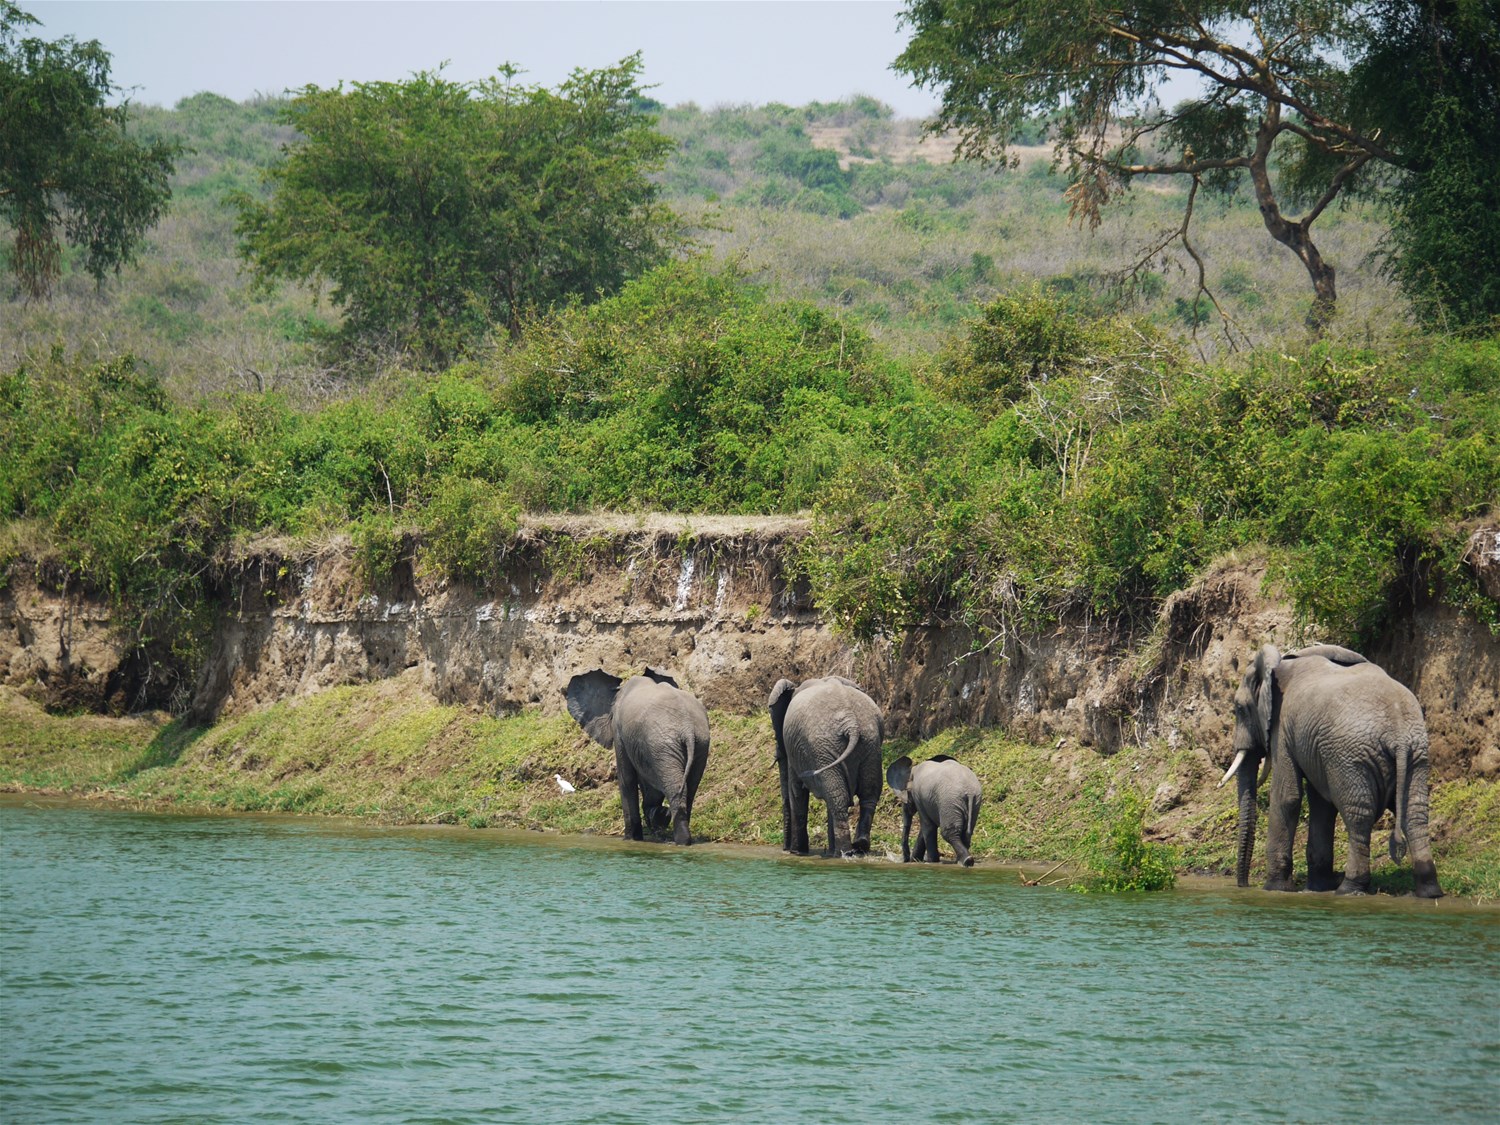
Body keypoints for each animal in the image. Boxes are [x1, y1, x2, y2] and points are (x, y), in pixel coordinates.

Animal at [564, 669, 711, 846]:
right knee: (689, 790)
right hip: (699, 744)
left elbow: (626, 779)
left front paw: (630, 839)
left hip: (662, 745)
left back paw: (680, 841)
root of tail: (687, 728)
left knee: (675, 789)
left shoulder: (619, 731)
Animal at [768, 678, 882, 852]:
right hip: (869, 744)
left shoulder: (795, 748)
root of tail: (851, 724)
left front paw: (797, 852)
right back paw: (858, 845)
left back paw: (844, 851)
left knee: (839, 797)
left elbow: (796, 791)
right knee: (868, 796)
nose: (784, 849)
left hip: (823, 746)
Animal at [1218, 648, 1440, 906]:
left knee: (1358, 816)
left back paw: (1349, 888)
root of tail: (1399, 734)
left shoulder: (1282, 728)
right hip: (1416, 755)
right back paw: (1429, 891)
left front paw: (1275, 889)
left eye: (1239, 709)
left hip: (1352, 757)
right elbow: (1321, 805)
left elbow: (1287, 797)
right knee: (1414, 814)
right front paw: (1316, 888)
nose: (1242, 885)